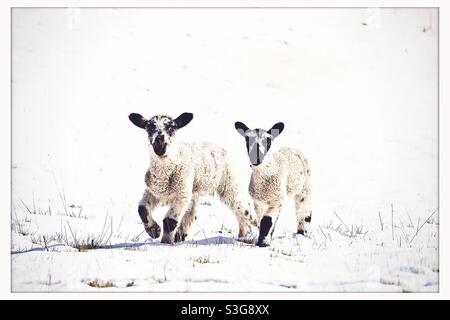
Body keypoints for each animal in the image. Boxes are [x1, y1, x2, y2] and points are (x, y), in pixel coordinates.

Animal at [130, 112, 256, 245]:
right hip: (193, 189)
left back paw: (246, 235)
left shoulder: (181, 195)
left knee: (242, 207)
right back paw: (180, 235)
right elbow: (142, 208)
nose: (160, 142)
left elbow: (170, 221)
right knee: (192, 212)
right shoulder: (152, 191)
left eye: (171, 128)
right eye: (149, 128)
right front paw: (154, 231)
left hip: (229, 182)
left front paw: (165, 242)